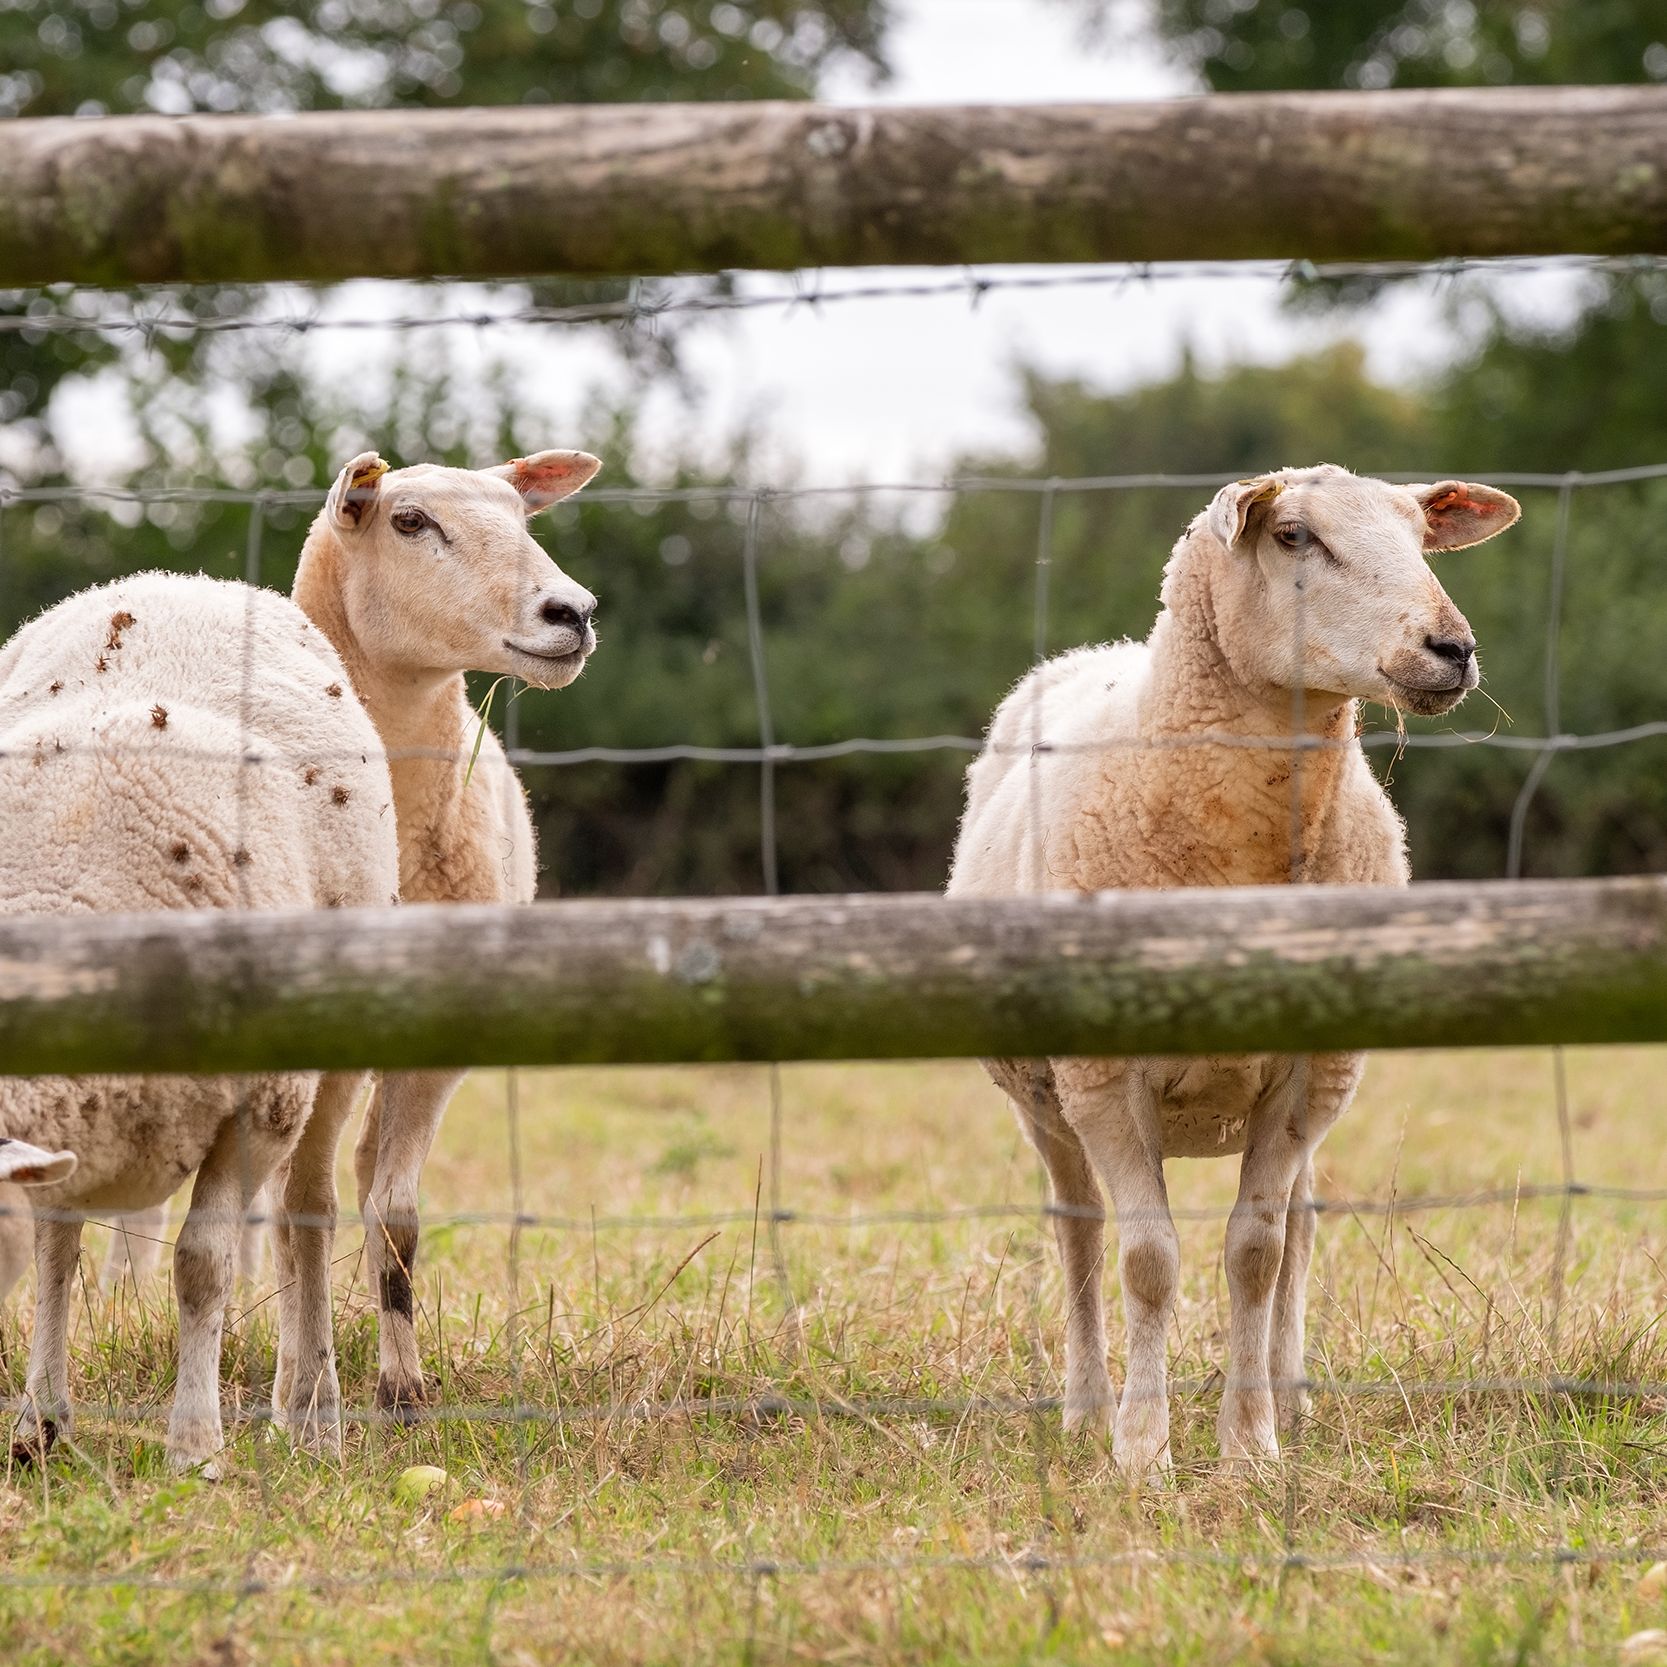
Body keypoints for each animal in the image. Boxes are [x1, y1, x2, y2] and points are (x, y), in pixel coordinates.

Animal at [0, 572, 399, 1472]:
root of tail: (184, 581)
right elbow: (53, 1251)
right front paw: (40, 1420)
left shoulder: (257, 1109)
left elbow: (201, 1265)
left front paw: (195, 1446)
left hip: (332, 1061)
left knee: (306, 1215)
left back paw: (313, 1416)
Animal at [947, 465, 1520, 1479]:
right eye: (1292, 534)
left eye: (1420, 535)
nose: (1450, 648)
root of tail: (1099, 652)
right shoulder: (1103, 1082)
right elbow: (1146, 1261)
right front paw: (1141, 1449)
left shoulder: (1303, 1077)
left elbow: (1257, 1251)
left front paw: (1250, 1444)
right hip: (1042, 1099)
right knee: (1077, 1229)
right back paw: (1083, 1408)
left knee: (1300, 1225)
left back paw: (1289, 1396)